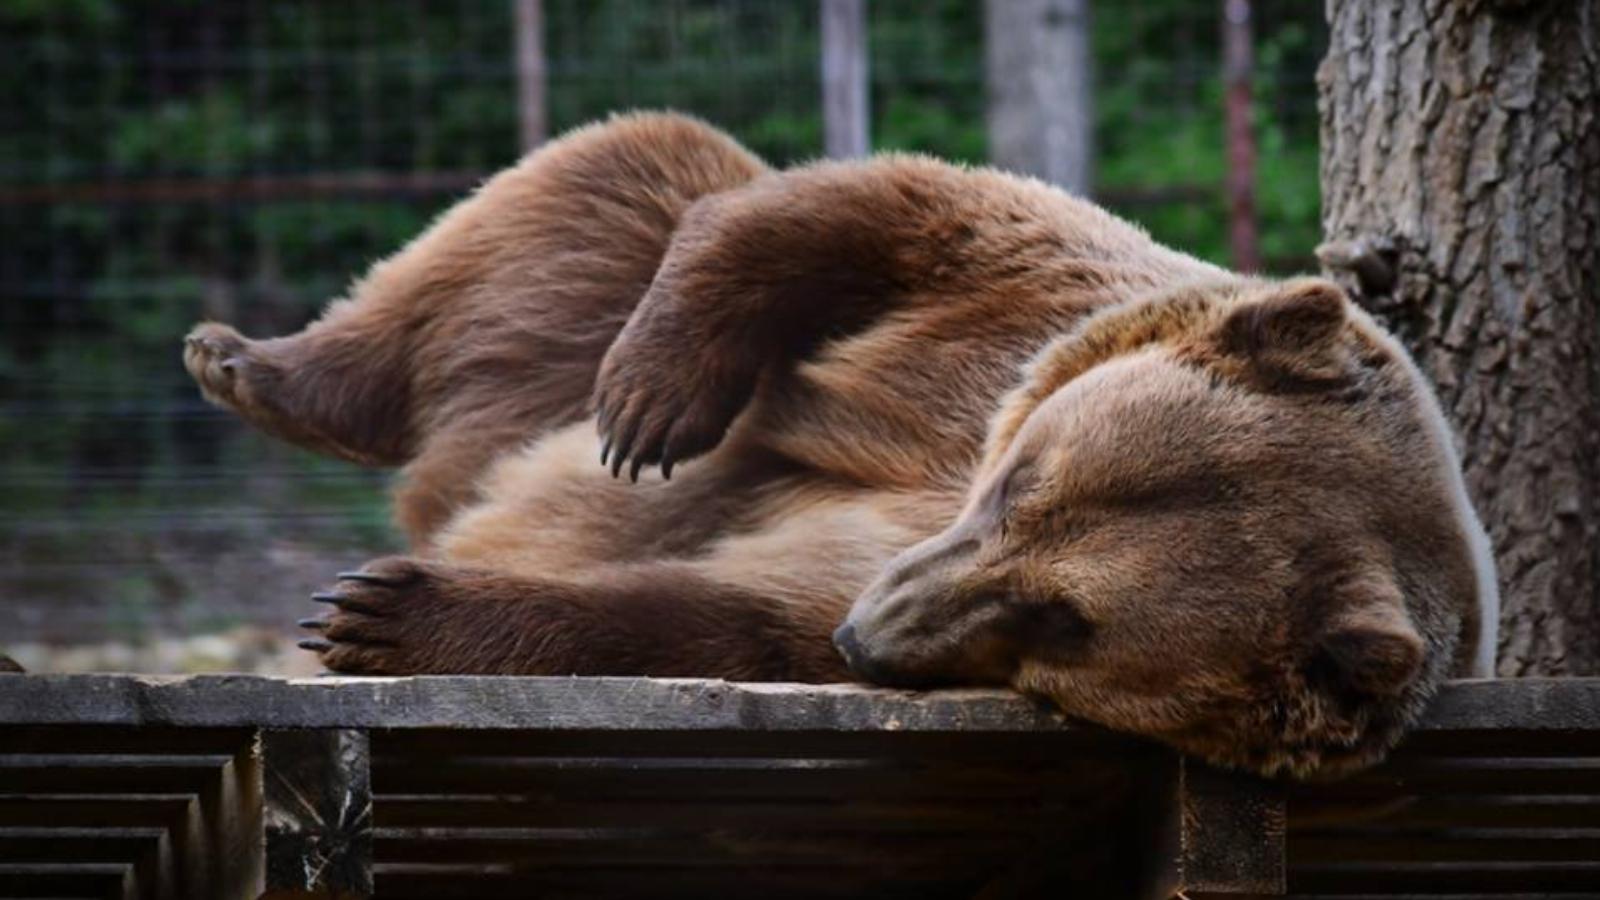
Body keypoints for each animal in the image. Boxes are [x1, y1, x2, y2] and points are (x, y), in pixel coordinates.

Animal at [187, 110, 1497, 771]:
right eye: (1020, 483)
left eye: (1065, 620)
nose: (870, 631)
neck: (959, 458)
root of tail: (453, 476)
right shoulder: (1024, 307)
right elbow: (873, 206)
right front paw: (654, 404)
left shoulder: (868, 559)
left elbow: (724, 615)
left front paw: (377, 611)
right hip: (551, 336)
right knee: (605, 180)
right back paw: (252, 364)